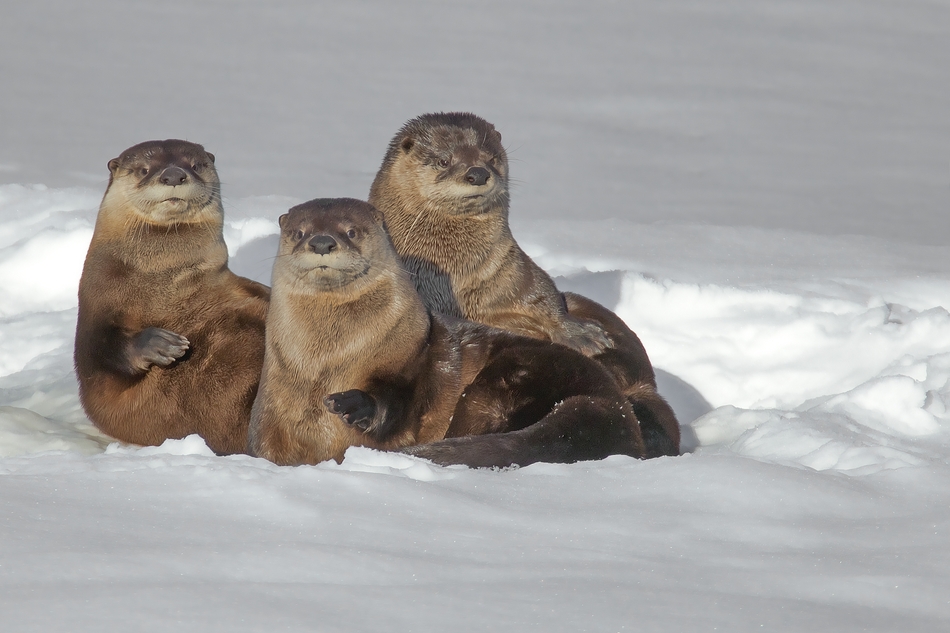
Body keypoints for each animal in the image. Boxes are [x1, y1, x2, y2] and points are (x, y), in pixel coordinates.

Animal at [73, 139, 268, 454]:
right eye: (144, 169)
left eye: (196, 164)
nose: (174, 174)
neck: (160, 282)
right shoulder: (95, 307)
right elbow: (99, 354)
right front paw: (162, 344)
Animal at [247, 198, 648, 470]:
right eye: (298, 232)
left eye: (351, 231)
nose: (321, 242)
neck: (325, 366)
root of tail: (610, 405)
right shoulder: (269, 413)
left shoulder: (408, 360)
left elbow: (393, 406)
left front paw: (354, 404)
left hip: (511, 376)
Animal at [368, 113, 680, 456]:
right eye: (443, 160)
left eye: (491, 158)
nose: (478, 173)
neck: (458, 281)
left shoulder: (517, 272)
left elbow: (546, 297)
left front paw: (582, 334)